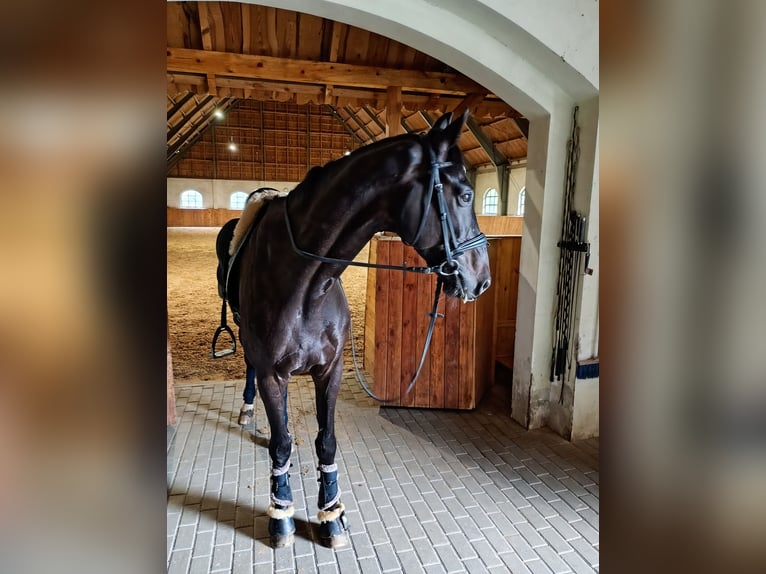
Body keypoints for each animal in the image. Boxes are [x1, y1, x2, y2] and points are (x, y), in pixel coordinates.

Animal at [227, 111, 491, 548]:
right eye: (466, 195)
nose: (482, 280)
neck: (306, 283)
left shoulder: (330, 371)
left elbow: (326, 440)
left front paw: (331, 513)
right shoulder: (271, 373)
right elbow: (281, 444)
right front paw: (281, 513)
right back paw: (249, 411)